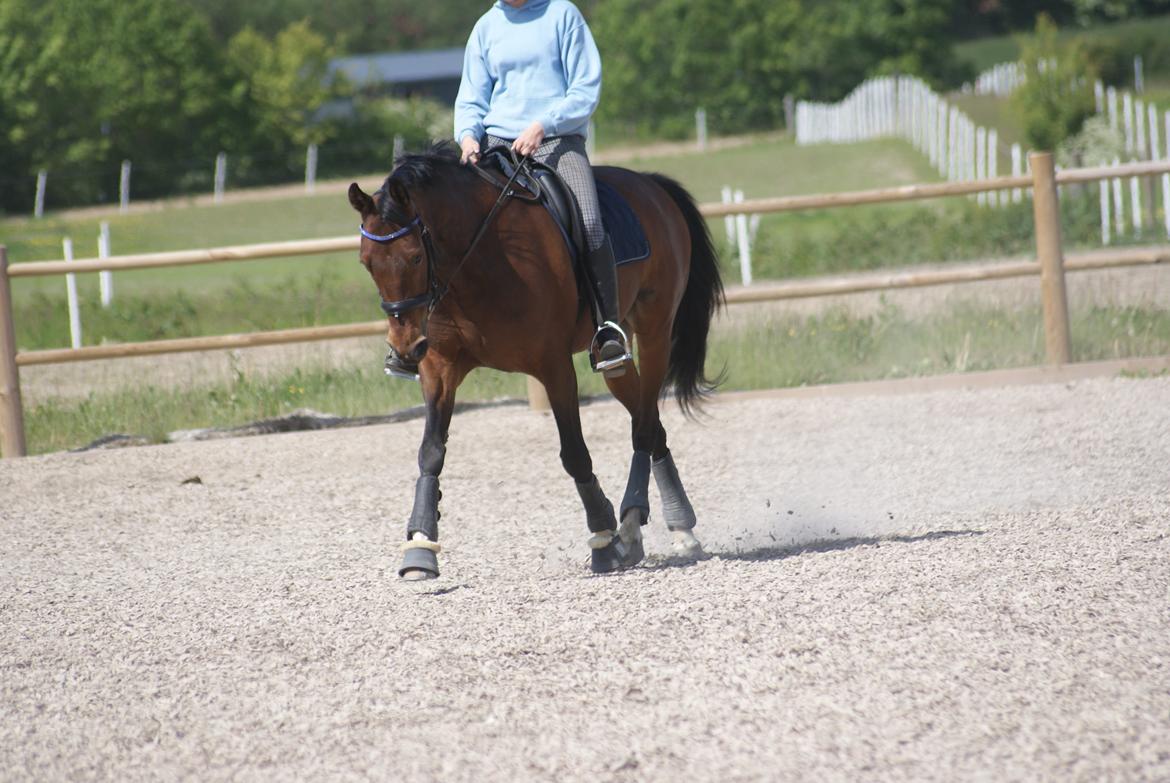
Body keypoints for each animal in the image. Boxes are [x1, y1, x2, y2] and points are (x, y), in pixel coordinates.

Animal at [341, 142, 720, 580]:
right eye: (366, 262)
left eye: (416, 257)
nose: (405, 347)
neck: (480, 257)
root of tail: (650, 184)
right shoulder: (438, 368)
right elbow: (431, 452)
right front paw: (419, 548)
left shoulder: (553, 366)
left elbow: (575, 454)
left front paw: (603, 539)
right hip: (618, 360)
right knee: (649, 421)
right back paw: (673, 528)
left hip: (654, 332)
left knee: (643, 427)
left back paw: (635, 524)